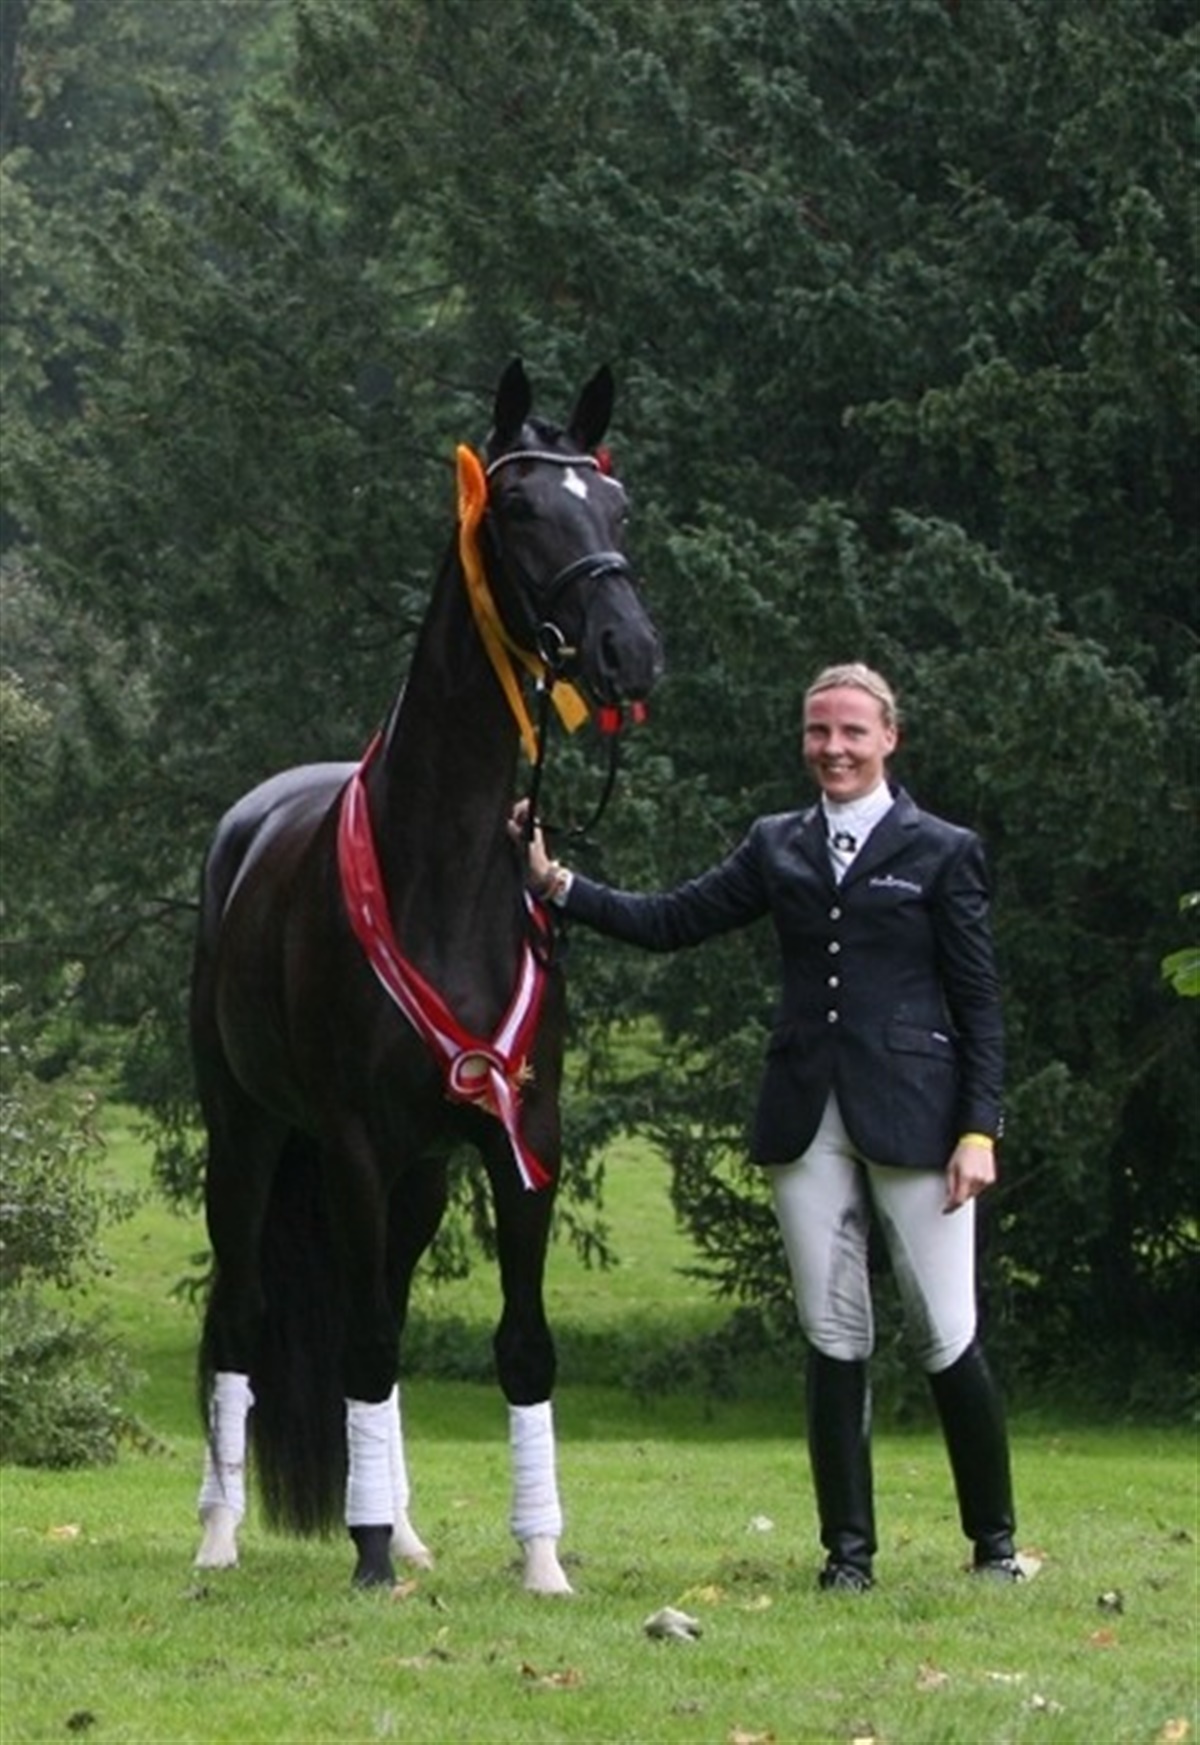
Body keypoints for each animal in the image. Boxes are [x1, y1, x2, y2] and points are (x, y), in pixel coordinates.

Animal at [190, 360, 662, 1595]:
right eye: (521, 508)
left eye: (618, 505)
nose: (629, 651)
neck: (442, 871)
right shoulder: (356, 1143)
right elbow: (360, 1342)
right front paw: (364, 1564)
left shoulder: (518, 1133)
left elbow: (521, 1346)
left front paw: (541, 1560)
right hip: (248, 1135)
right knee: (241, 1317)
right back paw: (222, 1535)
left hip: (420, 1181)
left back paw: (399, 1525)